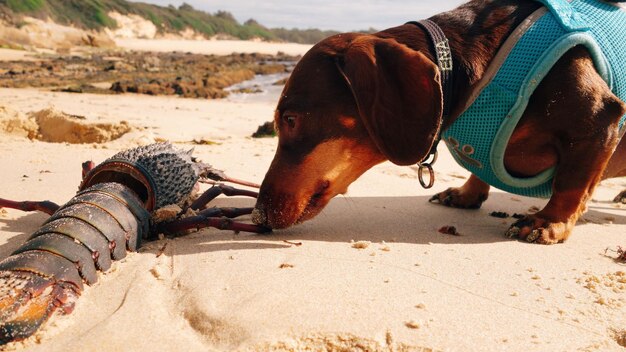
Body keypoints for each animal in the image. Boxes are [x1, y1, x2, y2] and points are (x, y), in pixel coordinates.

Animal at [251, 0, 624, 245]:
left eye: (291, 119)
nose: (257, 216)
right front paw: (466, 193)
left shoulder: (598, 118)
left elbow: (572, 186)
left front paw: (550, 222)